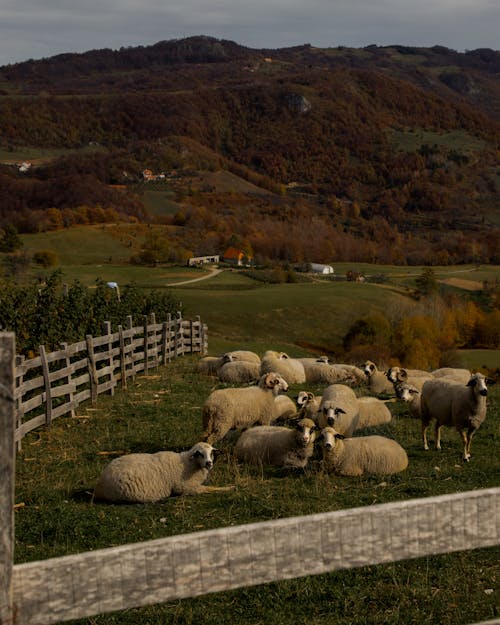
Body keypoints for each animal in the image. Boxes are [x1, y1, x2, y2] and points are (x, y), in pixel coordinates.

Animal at [93, 438, 231, 502]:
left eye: (211, 453)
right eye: (200, 454)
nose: (209, 463)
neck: (189, 463)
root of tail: (99, 486)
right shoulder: (186, 487)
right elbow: (210, 488)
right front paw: (229, 487)